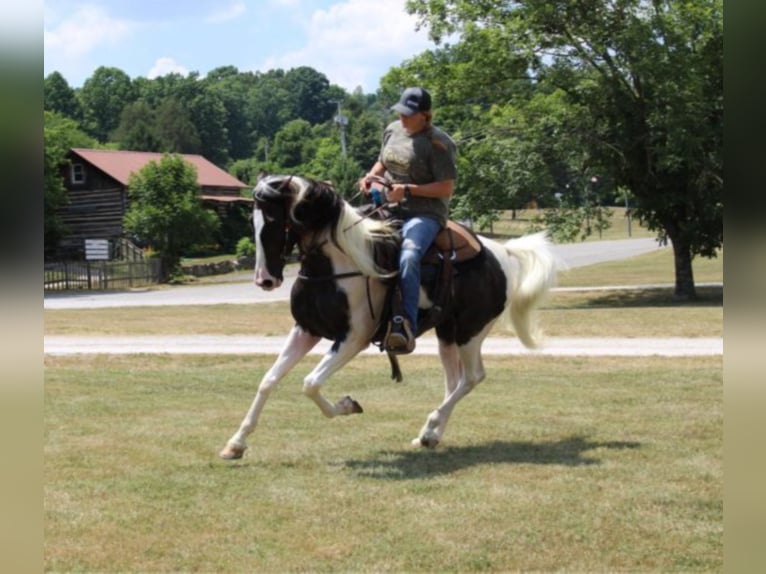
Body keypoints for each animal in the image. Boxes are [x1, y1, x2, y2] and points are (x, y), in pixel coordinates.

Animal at [220, 173, 560, 462]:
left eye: (274, 219)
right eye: (253, 220)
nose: (265, 280)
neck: (337, 265)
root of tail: (502, 252)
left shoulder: (352, 338)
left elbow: (310, 383)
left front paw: (348, 405)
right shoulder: (306, 329)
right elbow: (269, 380)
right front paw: (236, 443)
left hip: (471, 331)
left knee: (472, 377)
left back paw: (431, 426)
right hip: (447, 333)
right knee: (454, 381)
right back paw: (430, 435)